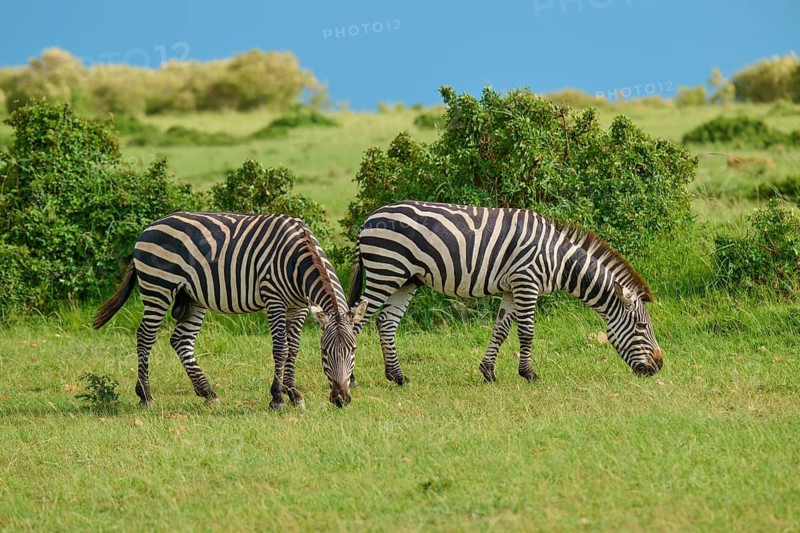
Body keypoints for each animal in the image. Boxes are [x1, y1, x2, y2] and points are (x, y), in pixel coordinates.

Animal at [93, 211, 368, 409]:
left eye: (354, 349)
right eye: (324, 352)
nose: (341, 400)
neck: (298, 260)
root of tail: (148, 228)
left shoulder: (298, 307)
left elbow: (294, 349)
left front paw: (293, 394)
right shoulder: (274, 299)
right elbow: (281, 349)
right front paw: (277, 397)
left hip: (192, 297)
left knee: (181, 341)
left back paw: (207, 393)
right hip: (158, 286)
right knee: (145, 337)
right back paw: (145, 395)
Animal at [347, 201, 663, 385]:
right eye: (642, 326)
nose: (659, 366)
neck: (559, 260)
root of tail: (369, 218)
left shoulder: (512, 288)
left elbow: (500, 330)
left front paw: (488, 372)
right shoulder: (527, 281)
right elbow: (527, 332)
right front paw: (529, 374)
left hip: (406, 279)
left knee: (386, 322)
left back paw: (397, 376)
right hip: (386, 270)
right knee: (355, 320)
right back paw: (350, 379)